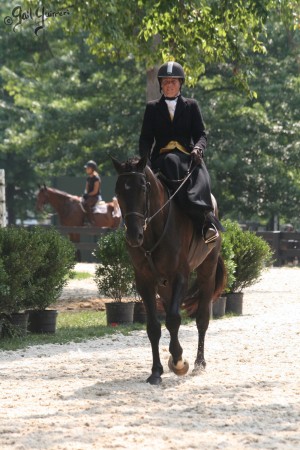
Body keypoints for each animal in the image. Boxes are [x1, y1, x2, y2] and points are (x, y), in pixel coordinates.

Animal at [113, 156, 226, 384]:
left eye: (143, 188)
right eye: (118, 190)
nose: (134, 236)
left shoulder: (180, 276)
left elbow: (174, 319)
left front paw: (180, 361)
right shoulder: (145, 281)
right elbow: (154, 326)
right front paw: (156, 371)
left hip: (206, 271)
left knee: (202, 318)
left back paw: (199, 362)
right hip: (164, 286)